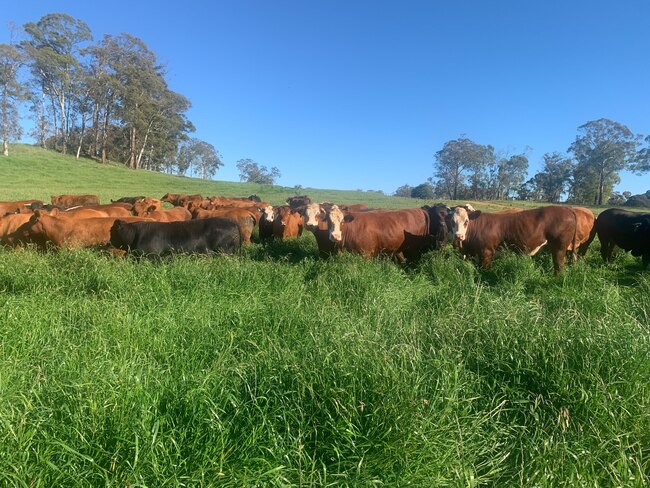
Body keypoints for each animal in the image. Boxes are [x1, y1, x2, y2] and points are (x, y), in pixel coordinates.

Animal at [446, 205, 576, 274]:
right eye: (452, 221)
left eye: (466, 221)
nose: (458, 236)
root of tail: (567, 209)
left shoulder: (487, 253)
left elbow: (485, 271)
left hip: (559, 248)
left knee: (559, 265)